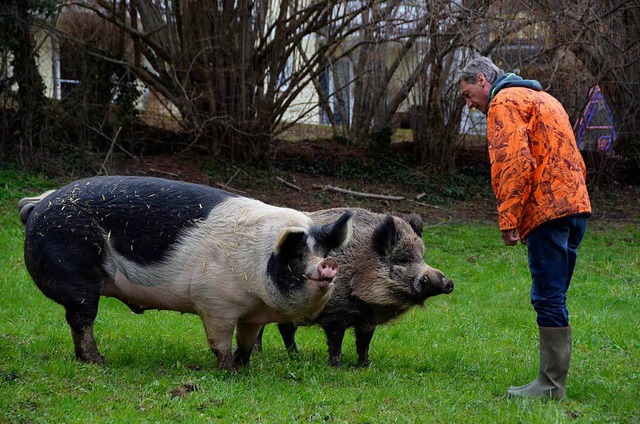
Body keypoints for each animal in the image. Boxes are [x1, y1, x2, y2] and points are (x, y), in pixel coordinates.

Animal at [18, 176, 356, 372]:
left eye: (323, 252)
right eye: (297, 256)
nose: (328, 264)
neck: (257, 265)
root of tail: (37, 205)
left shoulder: (251, 315)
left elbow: (247, 341)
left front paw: (245, 367)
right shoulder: (215, 303)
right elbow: (219, 340)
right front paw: (229, 371)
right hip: (76, 274)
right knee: (81, 318)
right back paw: (99, 362)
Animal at [258, 209, 452, 368]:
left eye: (422, 257)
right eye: (403, 260)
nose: (449, 283)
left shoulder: (367, 320)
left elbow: (364, 342)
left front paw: (365, 366)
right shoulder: (335, 313)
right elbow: (336, 341)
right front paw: (336, 366)